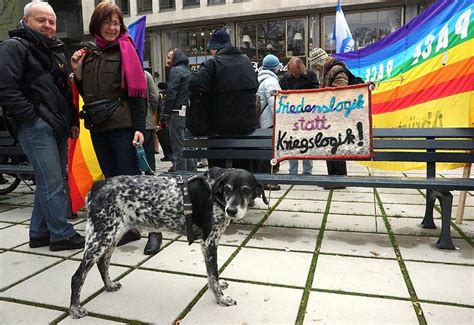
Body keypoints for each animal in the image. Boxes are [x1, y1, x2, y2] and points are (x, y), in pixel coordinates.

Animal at [69, 167, 268, 316]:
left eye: (246, 191)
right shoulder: (209, 243)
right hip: (100, 238)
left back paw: (109, 285)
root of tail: (97, 186)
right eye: (227, 189)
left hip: (112, 236)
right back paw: (75, 309)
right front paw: (221, 298)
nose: (231, 210)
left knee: (103, 264)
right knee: (78, 276)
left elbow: (214, 276)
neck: (213, 190)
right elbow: (213, 276)